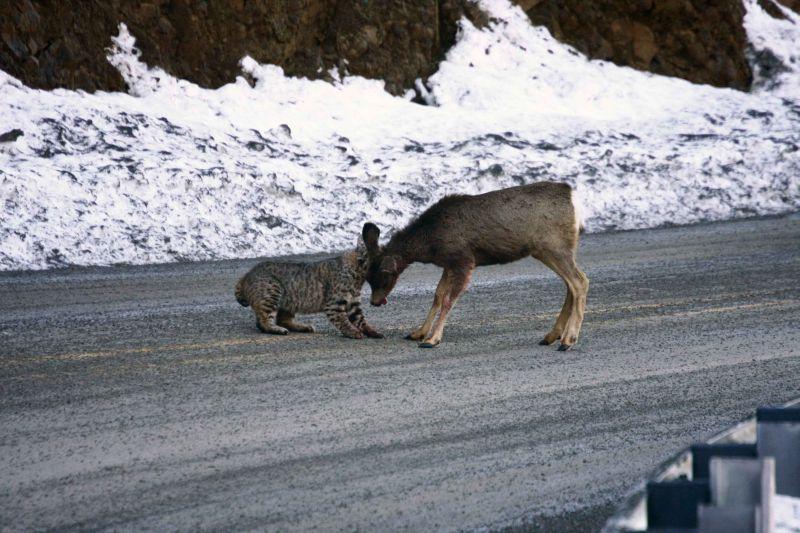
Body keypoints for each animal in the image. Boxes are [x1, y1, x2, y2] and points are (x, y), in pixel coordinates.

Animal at [364, 182, 588, 350]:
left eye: (383, 278)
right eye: (367, 277)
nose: (374, 302)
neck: (430, 242)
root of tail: (574, 198)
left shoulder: (463, 258)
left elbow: (449, 299)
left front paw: (432, 339)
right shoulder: (449, 263)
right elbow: (438, 295)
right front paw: (418, 332)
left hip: (554, 246)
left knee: (580, 282)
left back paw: (568, 340)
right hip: (549, 250)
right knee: (571, 285)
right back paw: (552, 336)